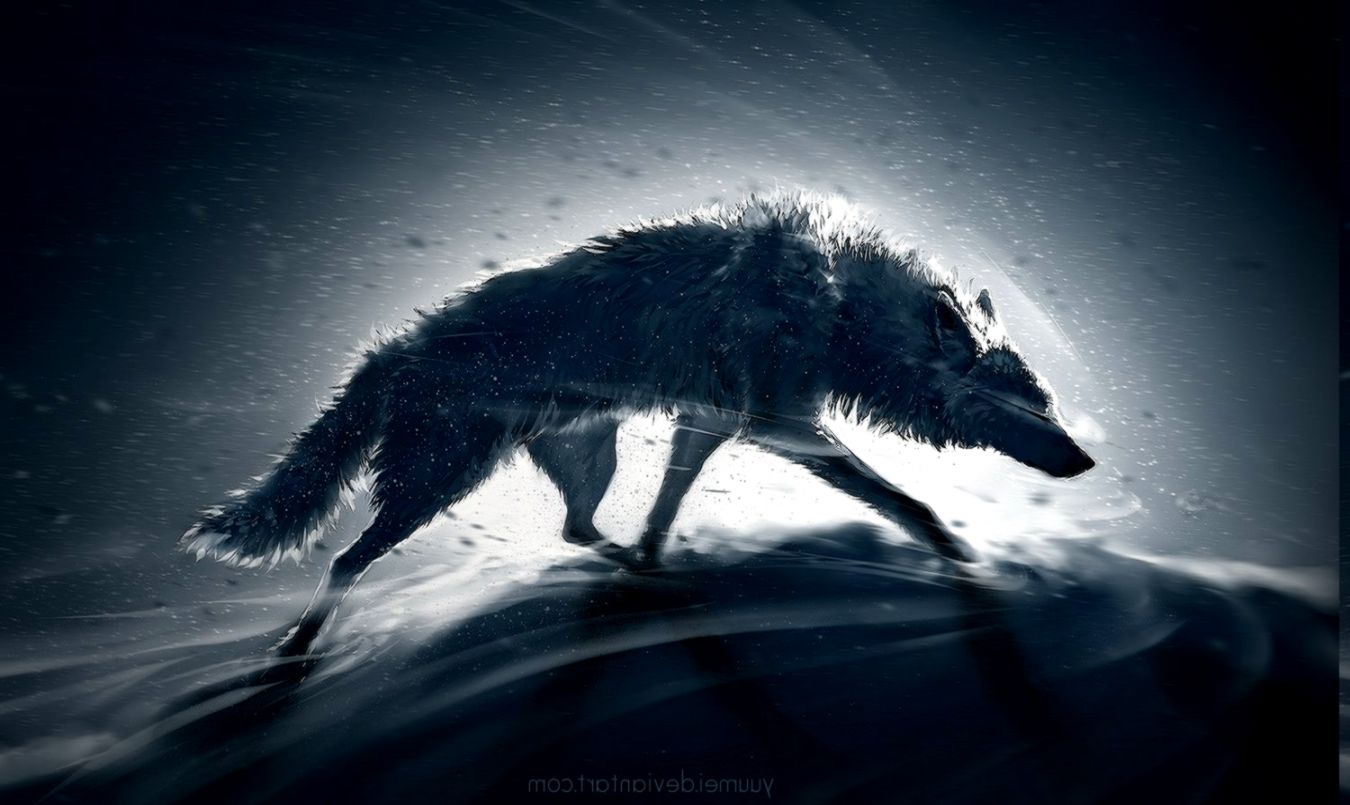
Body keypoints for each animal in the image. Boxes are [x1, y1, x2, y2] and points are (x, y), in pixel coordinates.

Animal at [182, 191, 1094, 657]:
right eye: (1029, 408)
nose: (1085, 460)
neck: (844, 313)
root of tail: (391, 348)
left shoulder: (711, 423)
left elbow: (667, 506)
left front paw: (657, 557)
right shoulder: (780, 427)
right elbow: (908, 502)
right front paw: (961, 554)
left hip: (588, 458)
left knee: (578, 529)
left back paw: (647, 574)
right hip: (438, 482)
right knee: (346, 558)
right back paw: (296, 648)